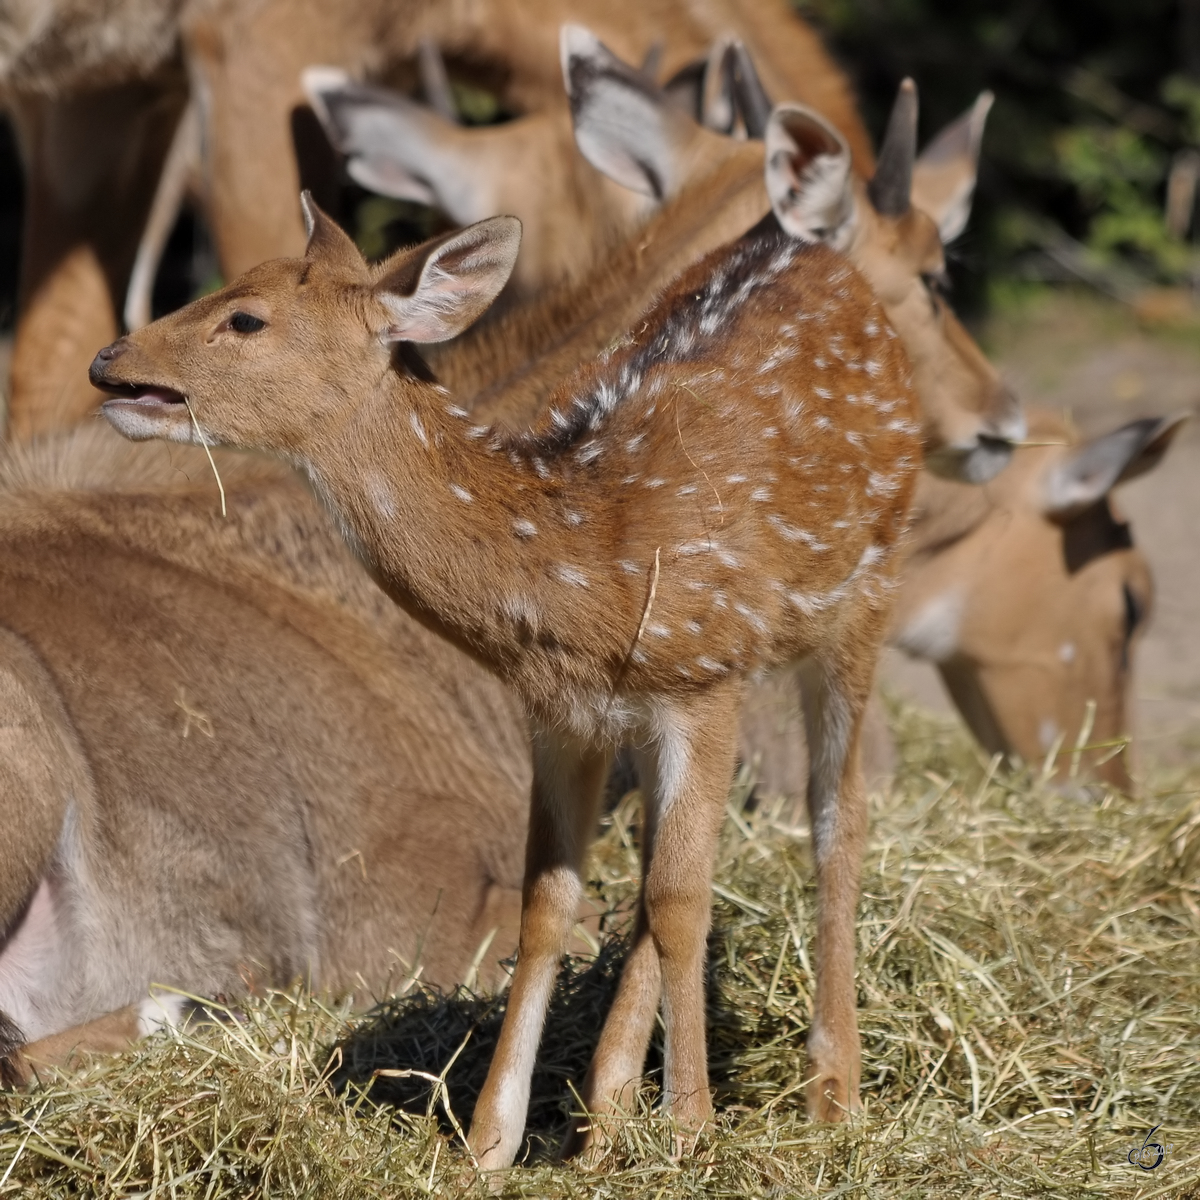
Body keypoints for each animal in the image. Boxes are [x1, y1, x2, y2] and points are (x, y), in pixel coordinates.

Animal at [93, 199, 916, 1161]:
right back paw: (603, 1121)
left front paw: (689, 1132)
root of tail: (826, 258)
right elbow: (549, 907)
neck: (584, 571)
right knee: (660, 862)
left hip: (868, 589)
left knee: (837, 814)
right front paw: (492, 1143)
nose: (108, 363)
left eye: (246, 319)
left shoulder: (706, 677)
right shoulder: (562, 718)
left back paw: (833, 1096)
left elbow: (682, 901)